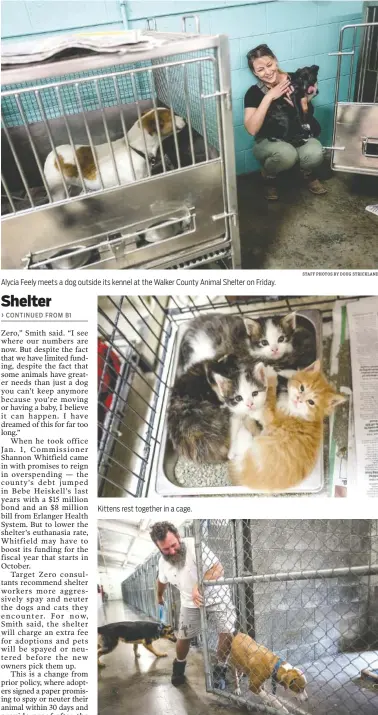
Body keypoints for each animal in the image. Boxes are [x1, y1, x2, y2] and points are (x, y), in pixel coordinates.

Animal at [229, 364, 346, 492]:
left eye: (311, 402)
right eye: (302, 388)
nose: (299, 398)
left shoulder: (271, 417)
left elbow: (267, 400)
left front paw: (270, 374)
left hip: (250, 442)